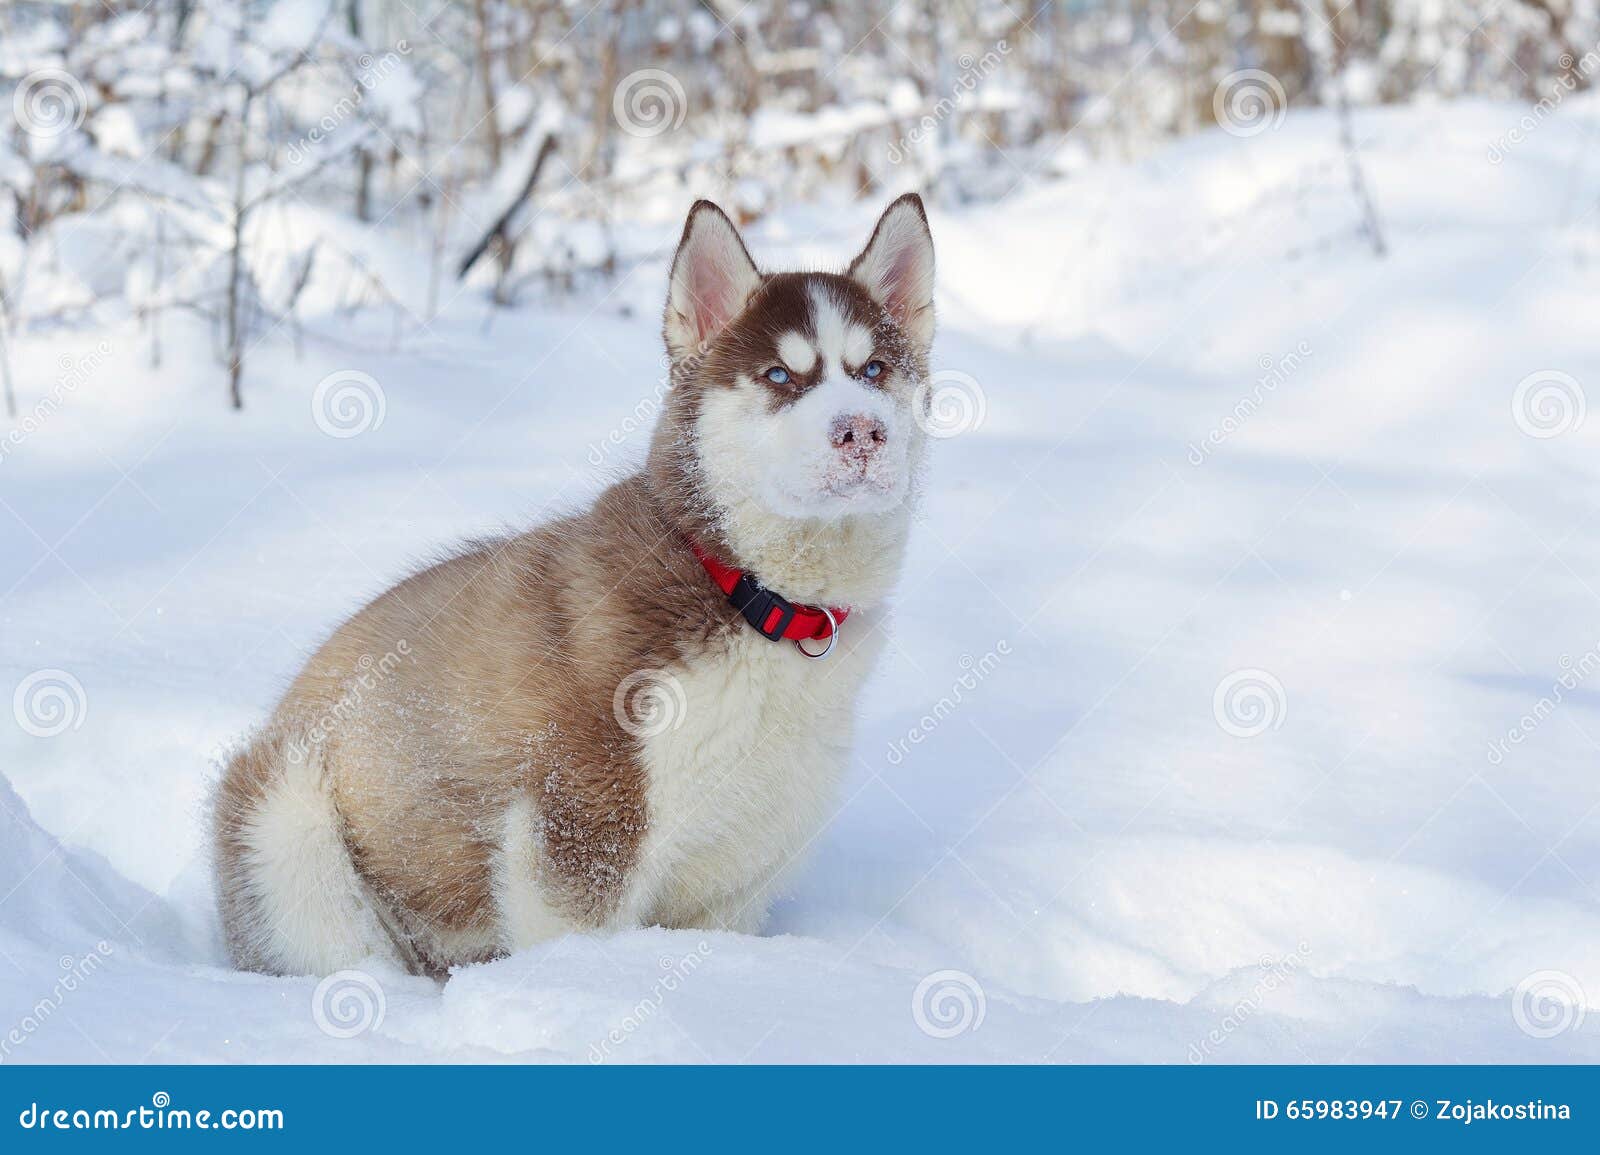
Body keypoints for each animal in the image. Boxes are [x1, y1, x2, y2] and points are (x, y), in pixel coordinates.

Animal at [212, 198, 934, 972]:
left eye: (875, 369)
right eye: (778, 375)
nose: (861, 432)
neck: (750, 599)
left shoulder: (738, 872)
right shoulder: (579, 824)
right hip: (286, 812)